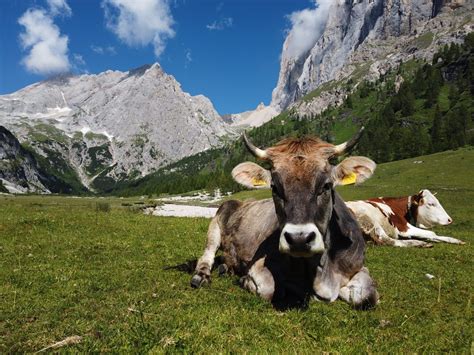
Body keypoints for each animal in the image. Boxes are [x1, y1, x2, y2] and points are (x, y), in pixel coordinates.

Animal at [191, 130, 380, 308]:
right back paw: (201, 276)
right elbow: (270, 290)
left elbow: (368, 296)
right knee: (207, 256)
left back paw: (225, 267)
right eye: (274, 188)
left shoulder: (358, 266)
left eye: (326, 186)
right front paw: (245, 280)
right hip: (215, 227)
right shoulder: (260, 265)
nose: (299, 239)